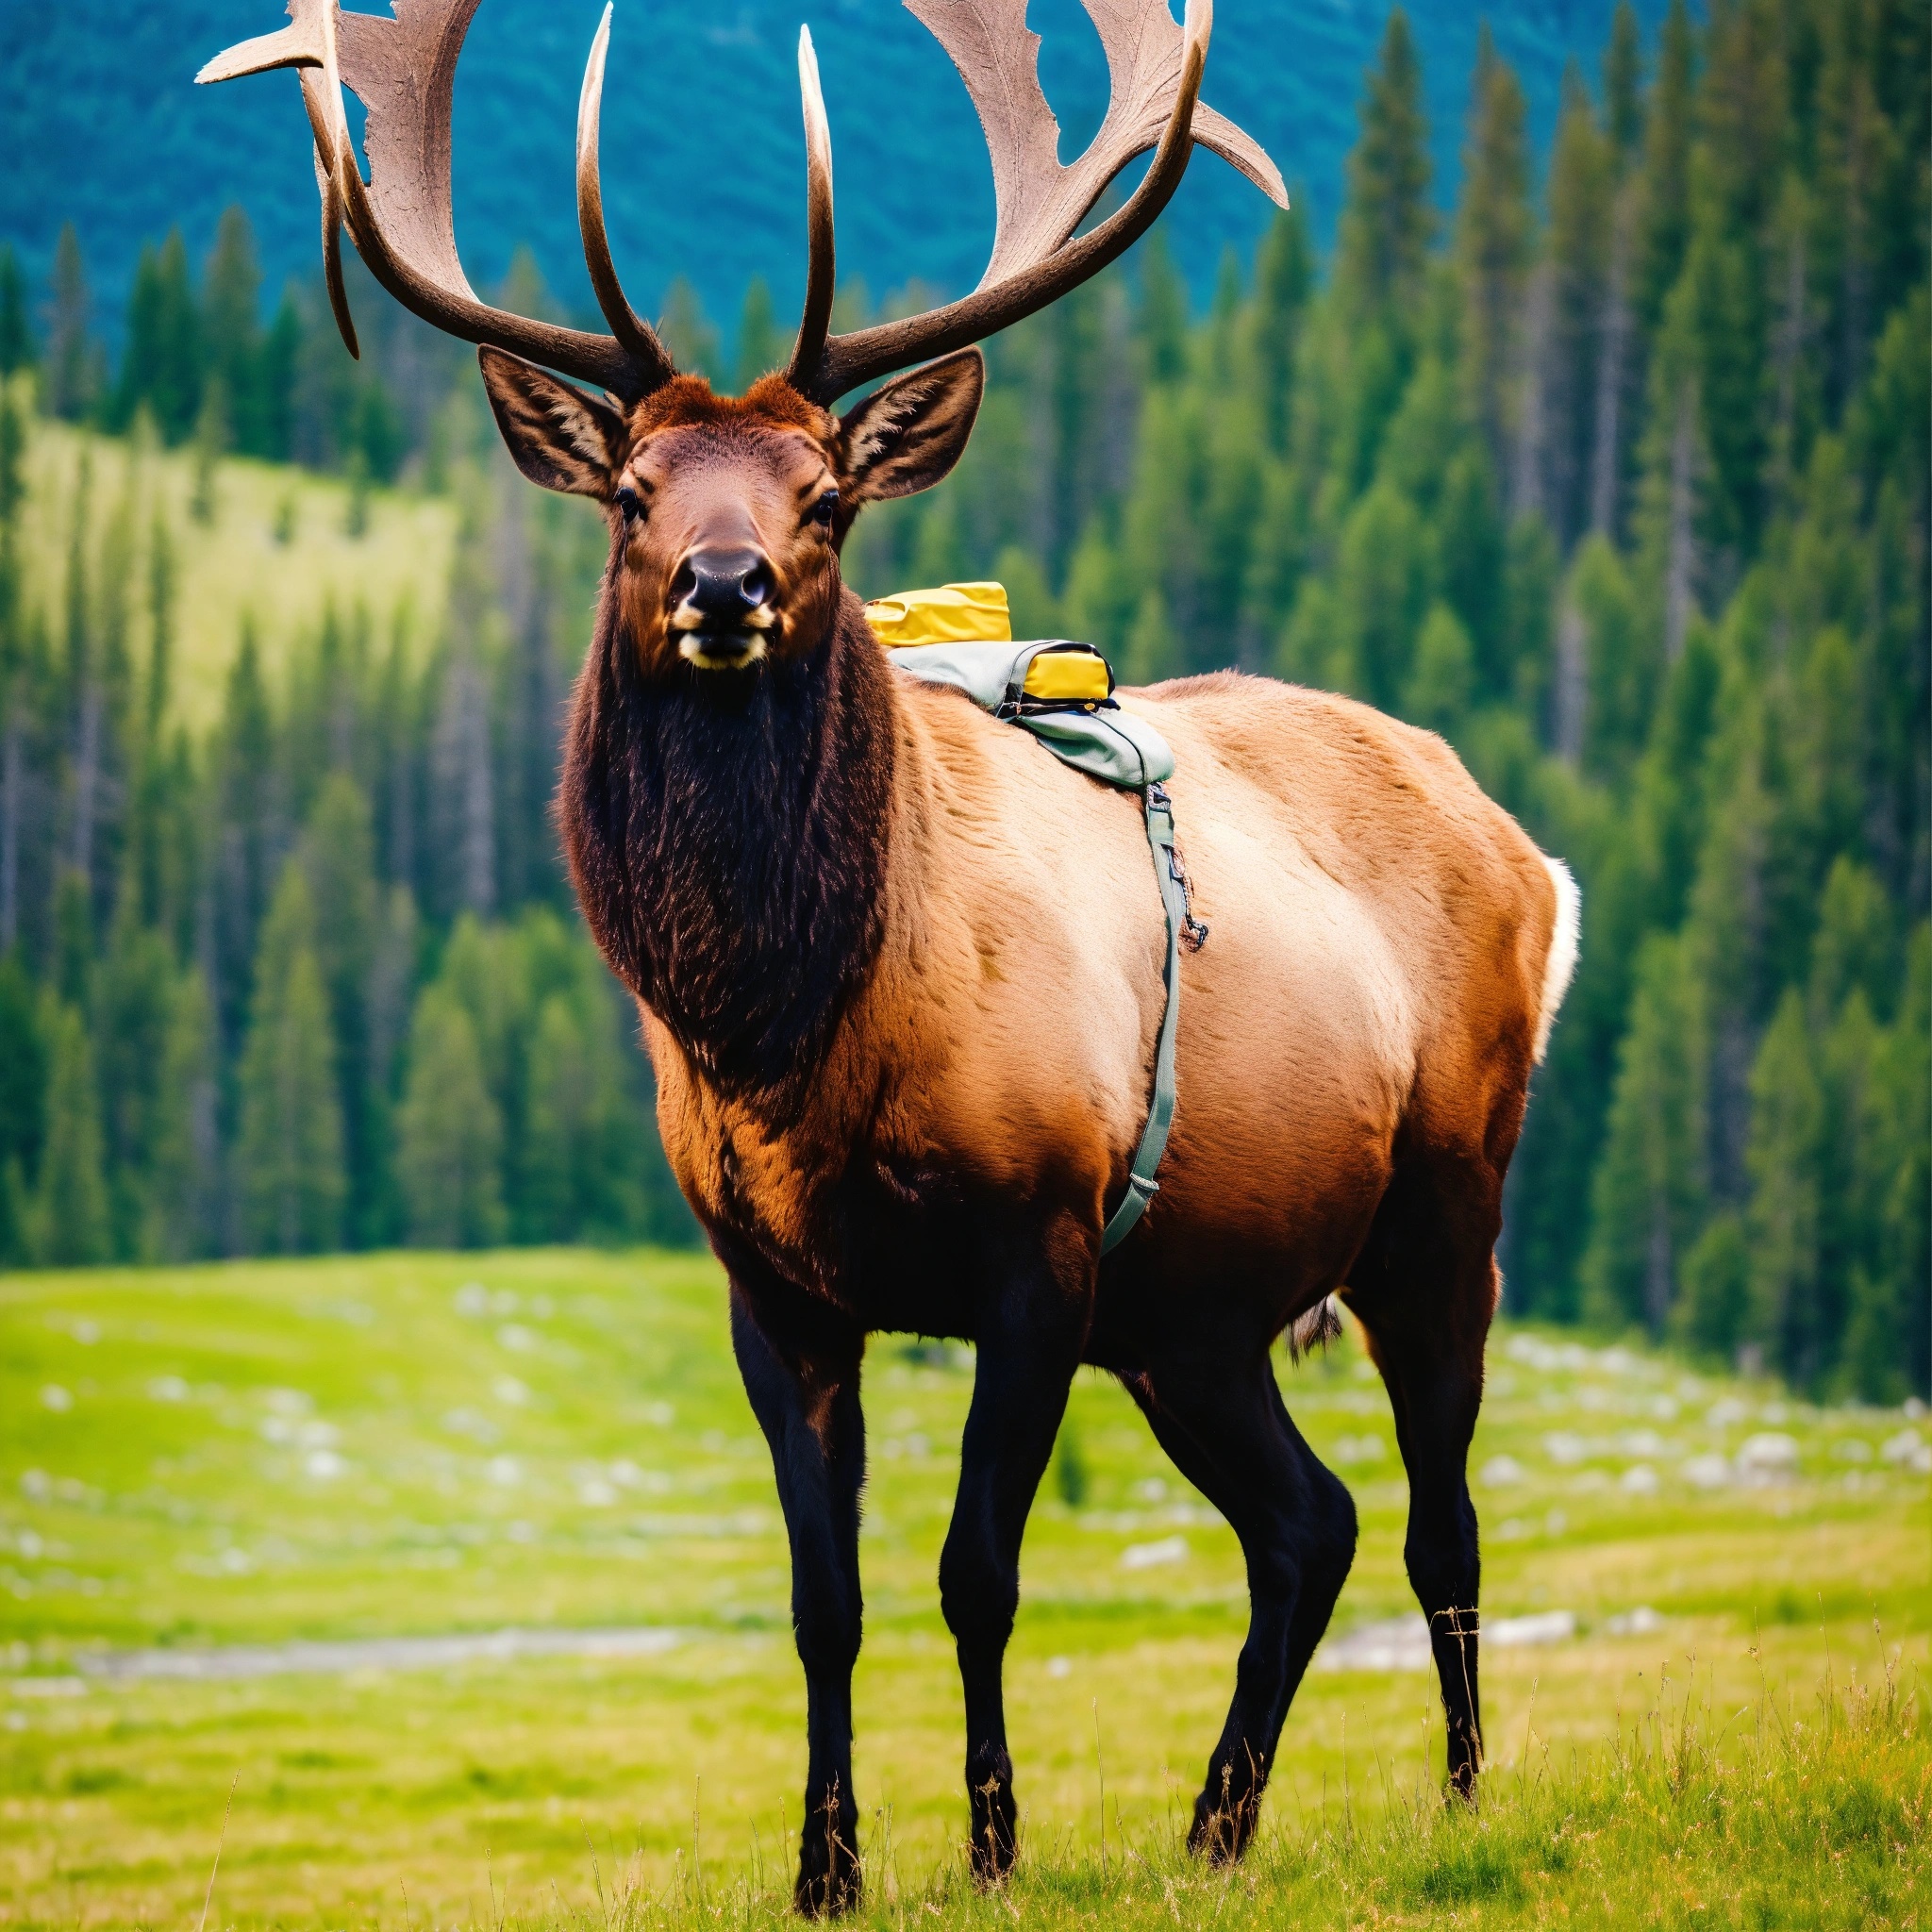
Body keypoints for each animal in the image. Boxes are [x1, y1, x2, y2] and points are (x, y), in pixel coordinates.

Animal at [202, 0, 1582, 1913]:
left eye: (824, 494)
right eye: (634, 489)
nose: (722, 584)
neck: (793, 1048)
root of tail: (1521, 839)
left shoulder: (1039, 1243)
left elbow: (973, 1574)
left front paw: (994, 1850)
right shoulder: (775, 1286)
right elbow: (824, 1601)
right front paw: (825, 1871)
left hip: (1443, 1194)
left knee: (1440, 1515)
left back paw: (1455, 1796)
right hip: (1198, 1306)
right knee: (1308, 1519)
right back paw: (1214, 1823)